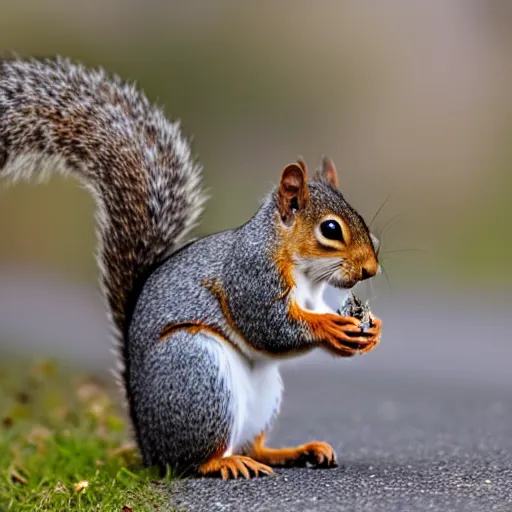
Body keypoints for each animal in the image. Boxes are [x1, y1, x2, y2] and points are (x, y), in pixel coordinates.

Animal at [0, 57, 382, 480]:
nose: (371, 269)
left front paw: (369, 331)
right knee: (194, 459)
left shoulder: (310, 296)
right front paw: (331, 326)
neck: (300, 267)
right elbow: (269, 327)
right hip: (197, 372)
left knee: (254, 445)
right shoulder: (249, 276)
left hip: (262, 395)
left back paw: (294, 451)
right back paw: (225, 462)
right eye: (330, 229)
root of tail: (149, 445)